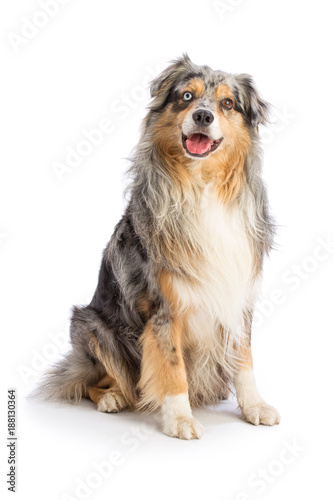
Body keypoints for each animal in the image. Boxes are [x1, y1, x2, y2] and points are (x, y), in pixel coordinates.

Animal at [40, 53, 282, 438]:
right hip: (92, 325)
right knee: (92, 380)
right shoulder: (164, 304)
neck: (203, 184)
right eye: (186, 96)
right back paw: (111, 397)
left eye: (228, 103)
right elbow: (171, 366)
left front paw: (254, 406)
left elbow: (244, 359)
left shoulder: (238, 292)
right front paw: (179, 418)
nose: (203, 116)